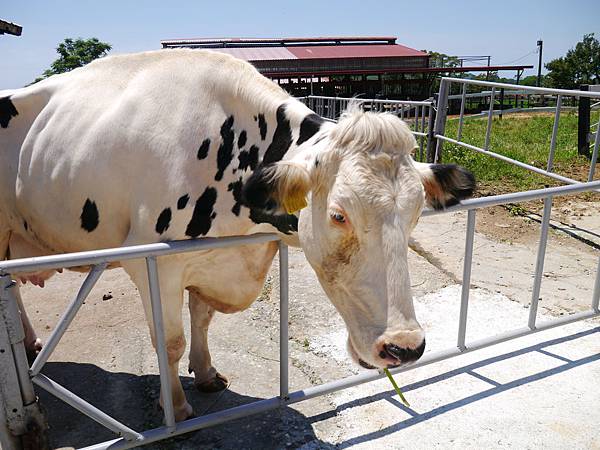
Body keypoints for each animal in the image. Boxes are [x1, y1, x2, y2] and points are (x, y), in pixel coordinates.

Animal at [1, 49, 474, 422]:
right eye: (339, 215)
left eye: (415, 214)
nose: (404, 348)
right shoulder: (152, 263)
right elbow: (169, 341)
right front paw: (175, 404)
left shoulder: (214, 259)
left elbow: (202, 318)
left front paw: (207, 373)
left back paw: (30, 341)